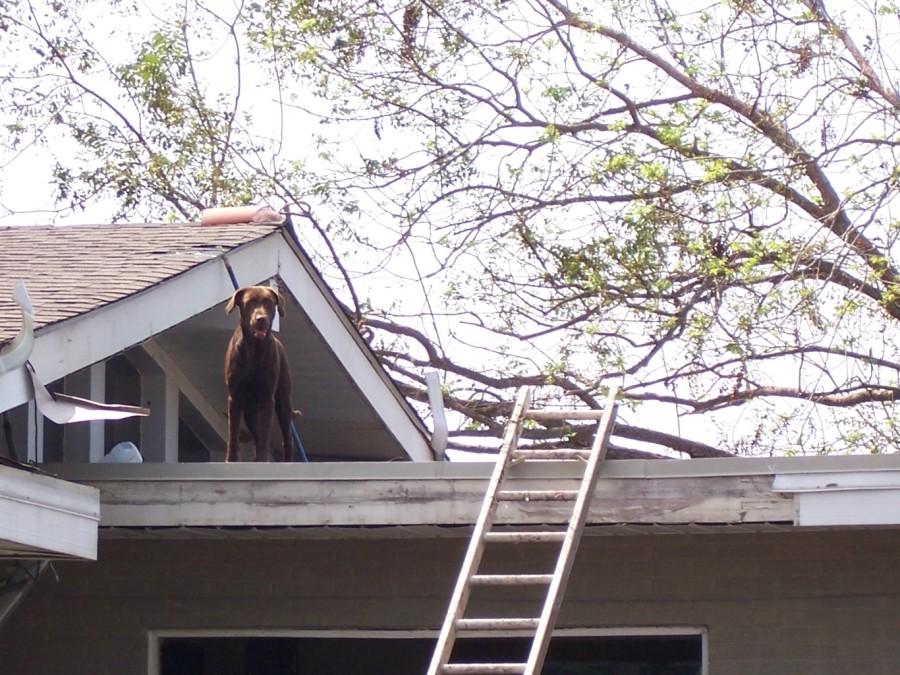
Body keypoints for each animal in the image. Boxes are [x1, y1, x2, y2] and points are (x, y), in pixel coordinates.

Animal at [225, 286, 296, 464]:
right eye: (249, 302)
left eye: (269, 302)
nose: (261, 319)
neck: (254, 350)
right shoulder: (234, 396)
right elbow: (233, 432)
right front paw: (231, 459)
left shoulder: (267, 397)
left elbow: (264, 433)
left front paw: (263, 459)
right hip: (249, 410)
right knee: (255, 433)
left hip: (283, 402)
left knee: (286, 438)